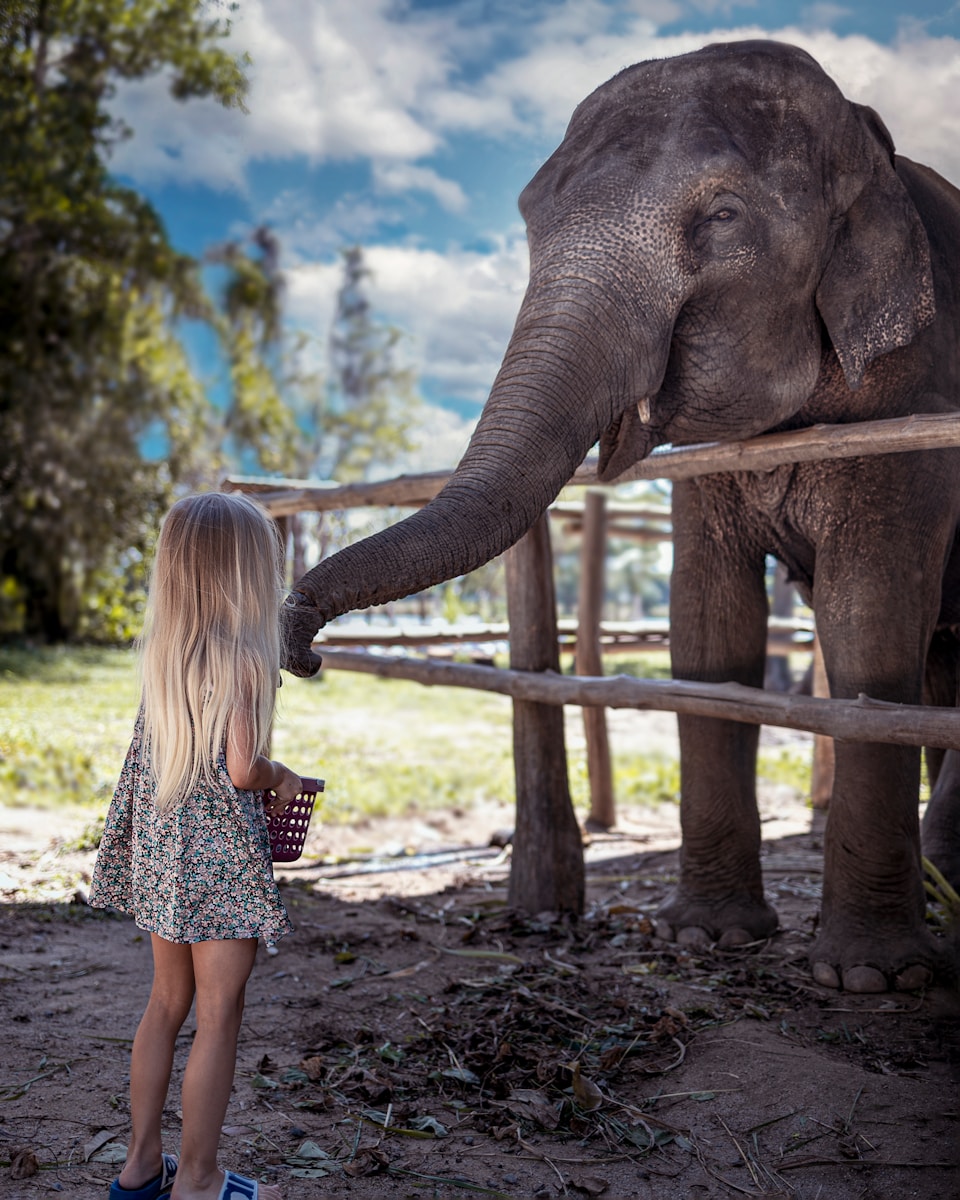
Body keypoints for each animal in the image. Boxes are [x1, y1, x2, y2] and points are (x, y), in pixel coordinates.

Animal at [284, 40, 960, 992]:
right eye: (529, 217)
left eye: (723, 216)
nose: (300, 642)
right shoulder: (709, 473)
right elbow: (709, 630)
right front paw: (704, 938)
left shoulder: (914, 410)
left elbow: (867, 624)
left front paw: (871, 979)